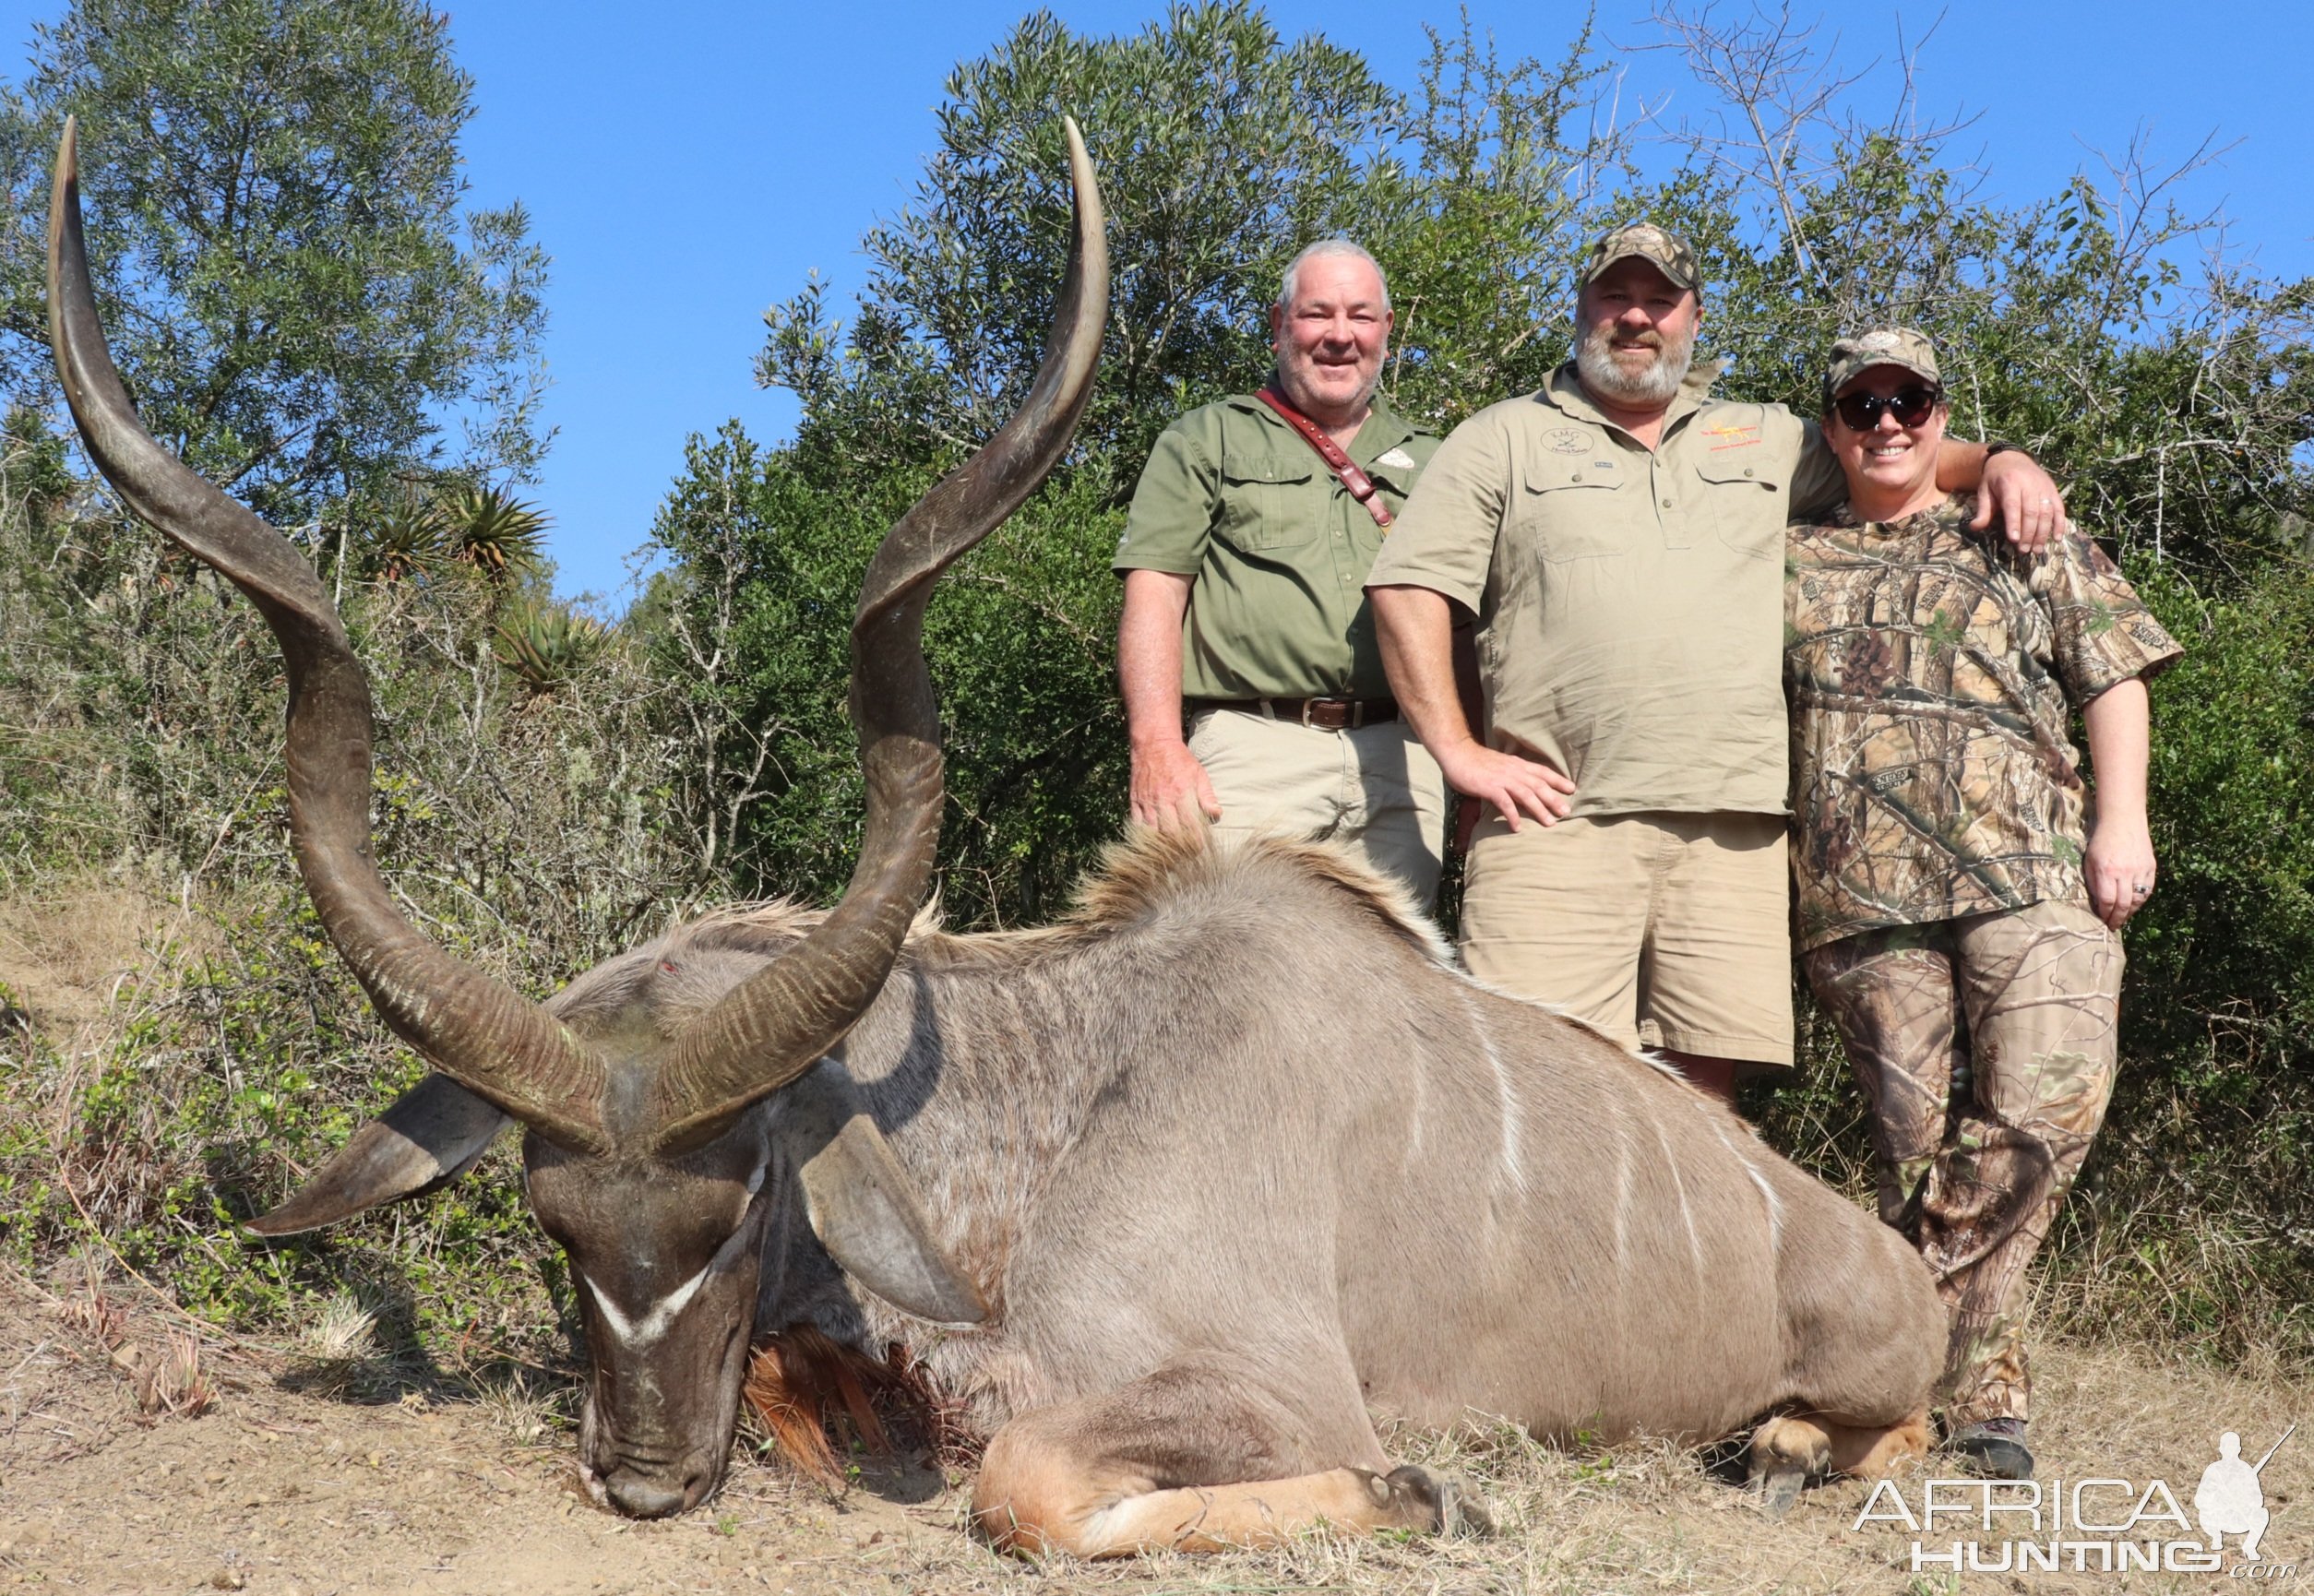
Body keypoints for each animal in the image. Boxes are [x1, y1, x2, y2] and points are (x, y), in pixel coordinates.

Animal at [44, 114, 1943, 1554]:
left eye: (741, 1198)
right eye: (550, 1222)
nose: (643, 1478)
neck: (1053, 1113)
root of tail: (1880, 1252)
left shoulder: (1265, 1384)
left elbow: (1026, 1485)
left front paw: (1428, 1493)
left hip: (1877, 1372)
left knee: (1890, 1430)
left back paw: (1782, 1451)